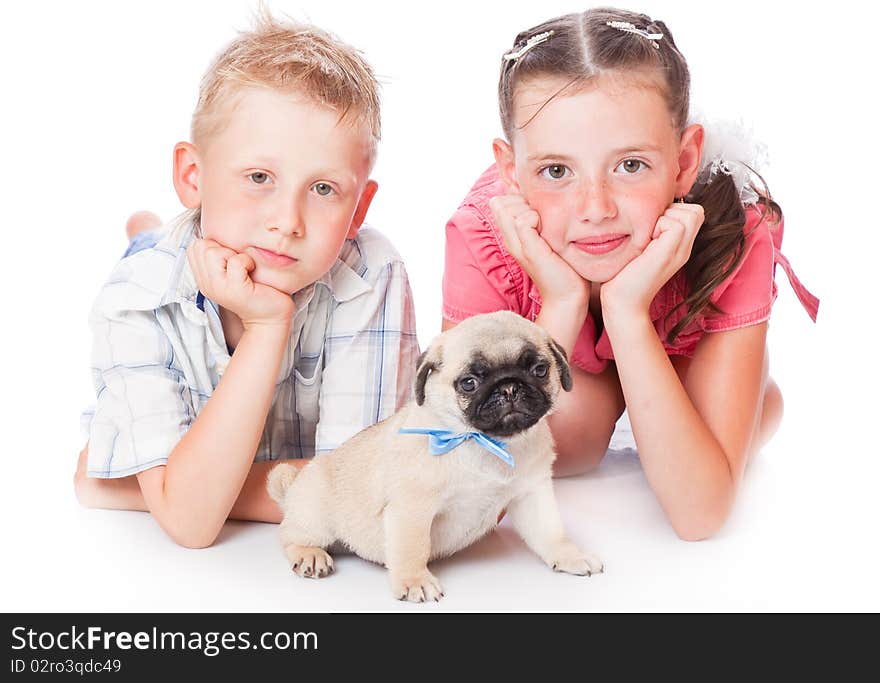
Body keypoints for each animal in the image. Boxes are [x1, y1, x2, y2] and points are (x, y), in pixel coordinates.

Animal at [264, 312, 600, 604]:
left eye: (539, 370)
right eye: (469, 382)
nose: (509, 387)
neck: (485, 442)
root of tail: (293, 486)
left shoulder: (532, 495)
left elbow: (551, 532)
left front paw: (570, 555)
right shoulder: (412, 508)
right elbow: (412, 547)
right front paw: (414, 580)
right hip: (316, 517)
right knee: (288, 535)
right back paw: (309, 554)